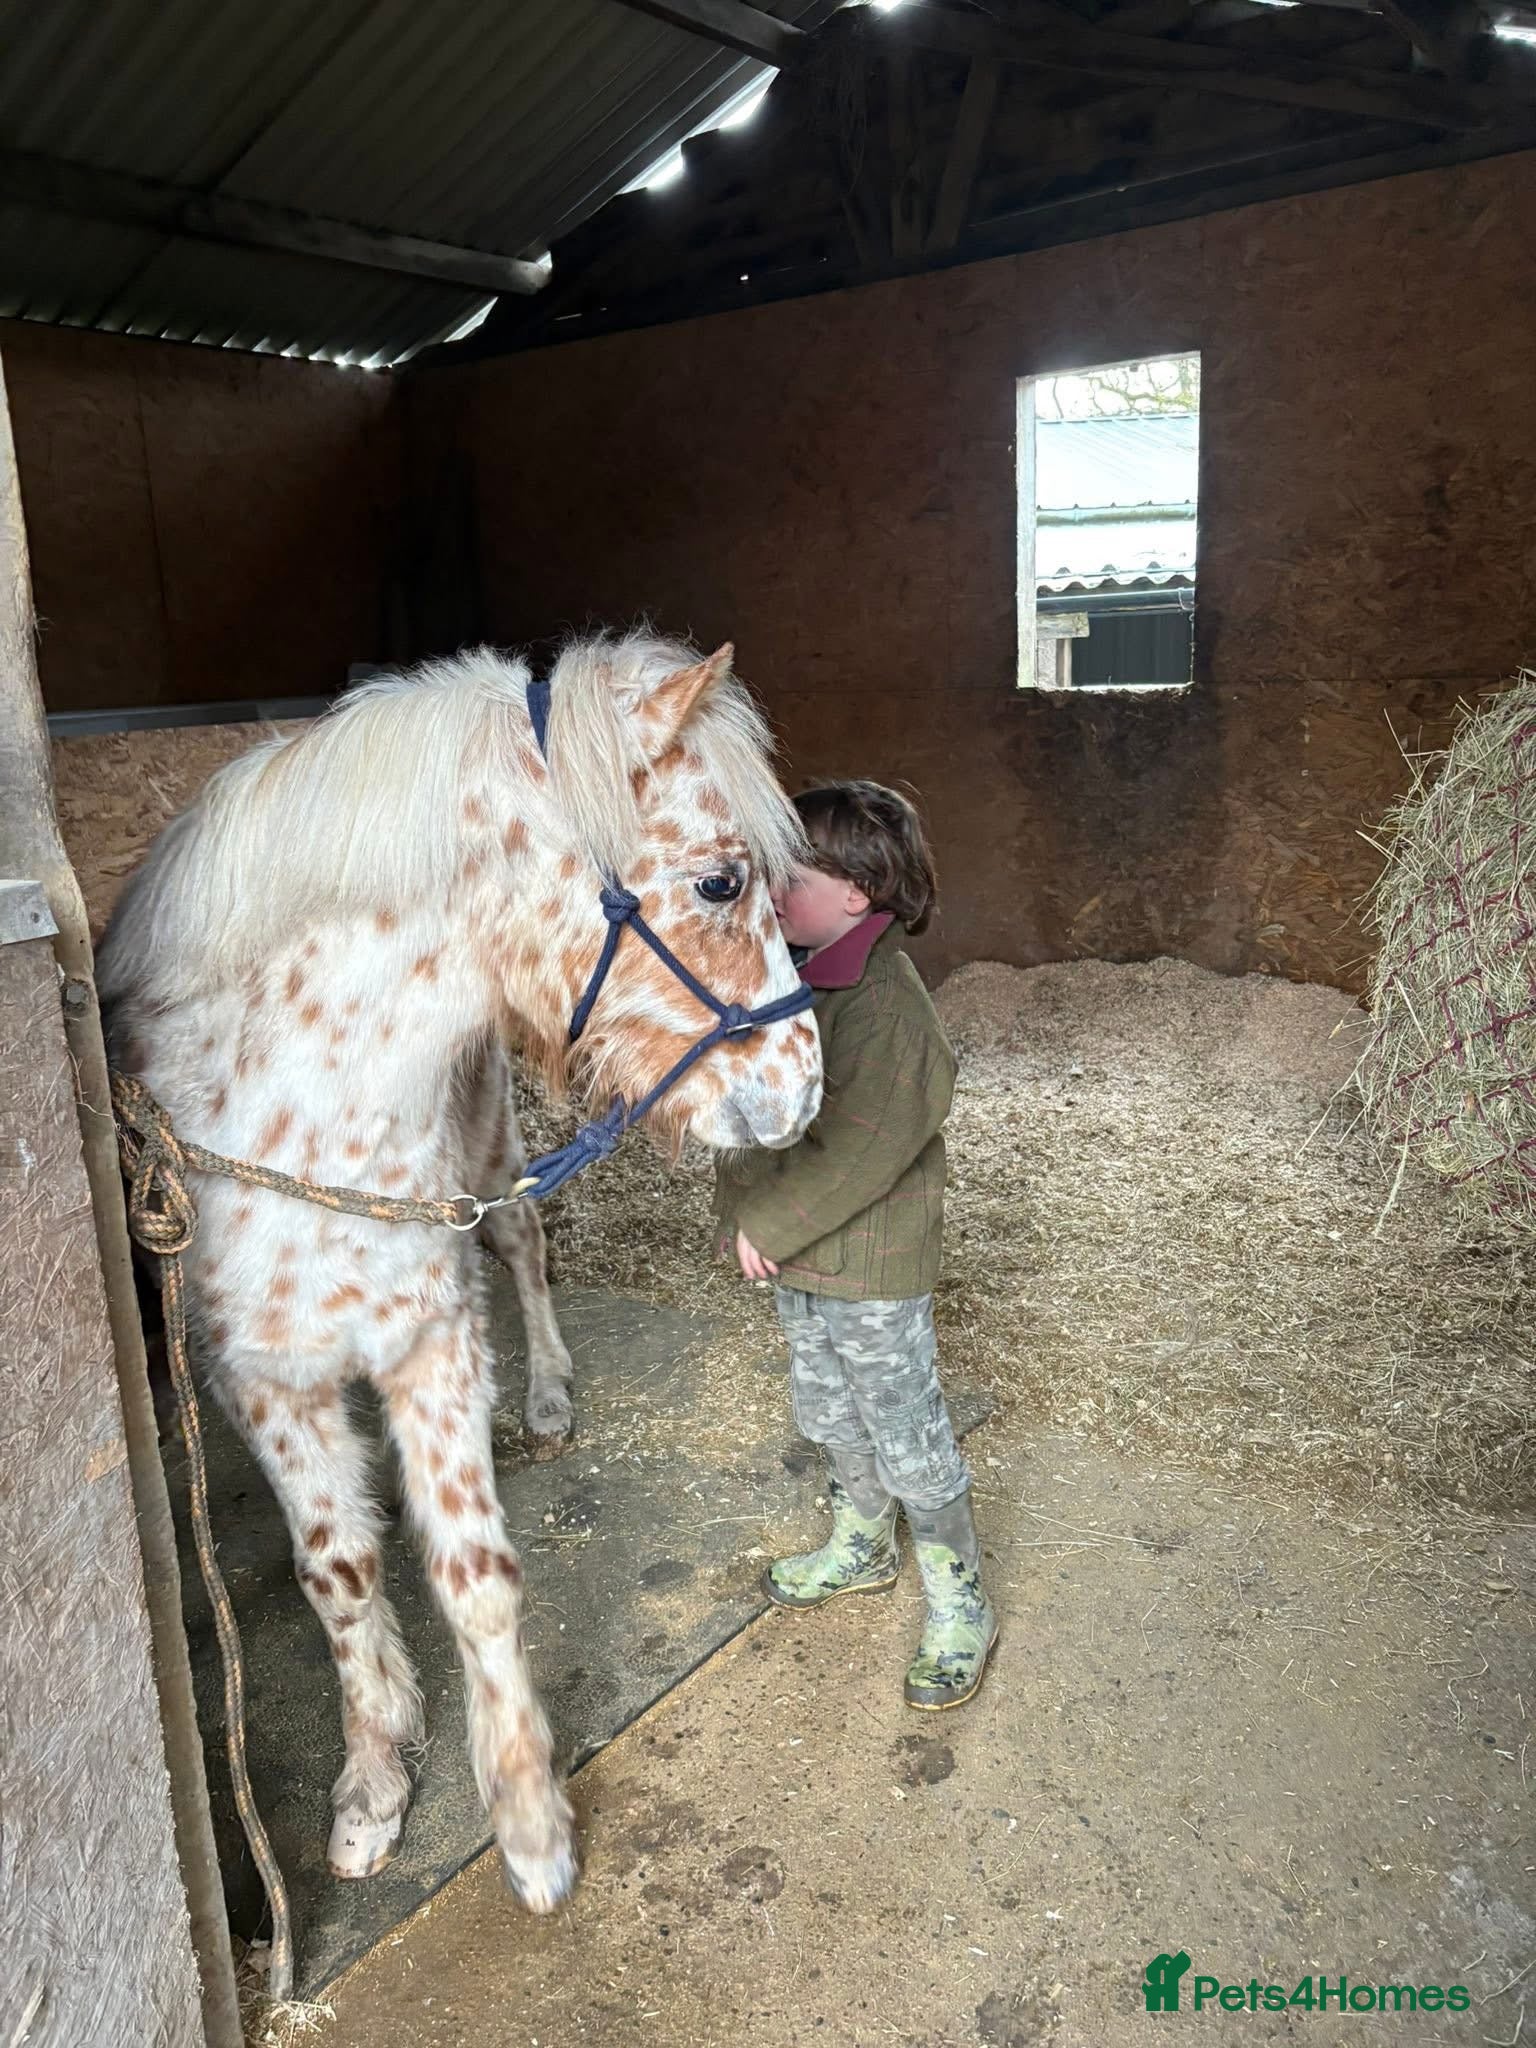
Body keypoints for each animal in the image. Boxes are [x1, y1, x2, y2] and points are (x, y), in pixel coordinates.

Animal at [97, 632, 822, 1913]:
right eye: (721, 882)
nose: (803, 1088)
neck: (305, 1118)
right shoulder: (265, 1380)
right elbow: (339, 1568)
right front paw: (375, 1773)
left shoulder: (427, 1343)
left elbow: (477, 1573)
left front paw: (530, 1822)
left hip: (486, 1154)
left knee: (520, 1250)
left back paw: (543, 1396)